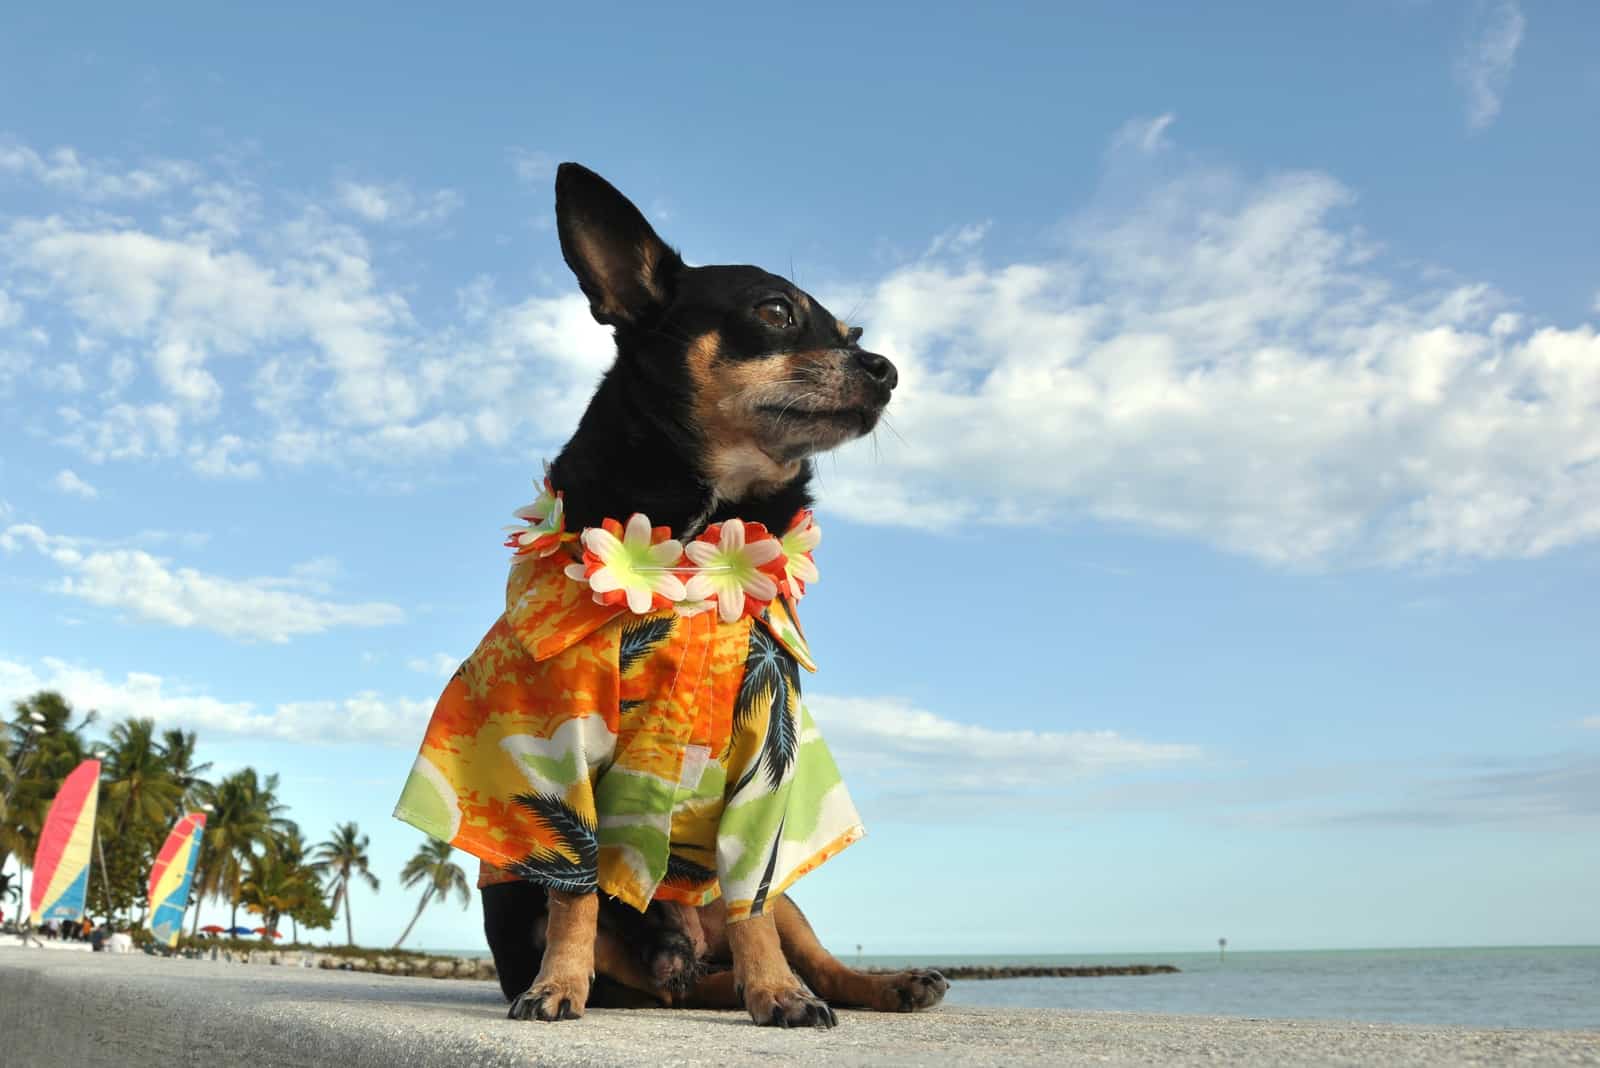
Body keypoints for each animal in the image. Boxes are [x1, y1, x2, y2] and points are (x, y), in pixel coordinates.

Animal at [473, 164, 940, 1023]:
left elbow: (752, 906)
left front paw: (779, 996)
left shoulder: (762, 764)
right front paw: (557, 988)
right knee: (660, 972)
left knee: (796, 947)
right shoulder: (567, 757)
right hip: (546, 914)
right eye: (775, 311)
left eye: (851, 333)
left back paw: (874, 984)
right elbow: (575, 898)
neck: (703, 536)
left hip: (777, 900)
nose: (886, 369)